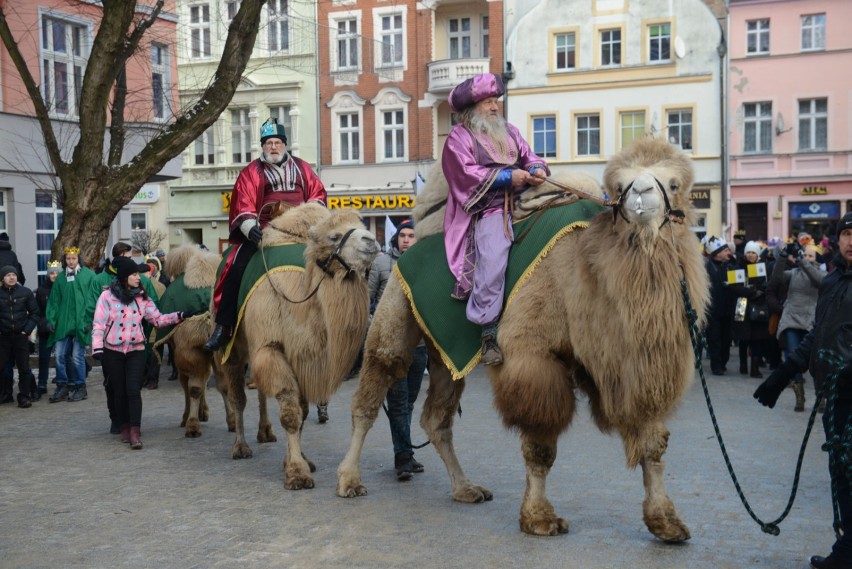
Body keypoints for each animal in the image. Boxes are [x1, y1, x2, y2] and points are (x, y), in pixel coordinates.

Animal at [220, 201, 380, 488]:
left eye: (361, 225)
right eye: (334, 236)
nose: (371, 240)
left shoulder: (303, 356)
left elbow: (302, 412)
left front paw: (299, 460)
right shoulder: (271, 348)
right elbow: (290, 413)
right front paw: (296, 472)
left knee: (261, 391)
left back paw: (265, 432)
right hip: (233, 348)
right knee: (237, 396)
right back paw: (240, 446)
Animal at [336, 139, 708, 540]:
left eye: (674, 184)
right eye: (621, 184)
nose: (640, 194)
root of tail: (415, 241)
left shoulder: (633, 365)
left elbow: (652, 442)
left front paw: (666, 522)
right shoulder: (534, 357)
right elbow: (540, 442)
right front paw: (539, 517)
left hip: (443, 353)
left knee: (437, 418)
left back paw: (465, 488)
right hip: (394, 311)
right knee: (371, 395)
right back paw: (349, 479)